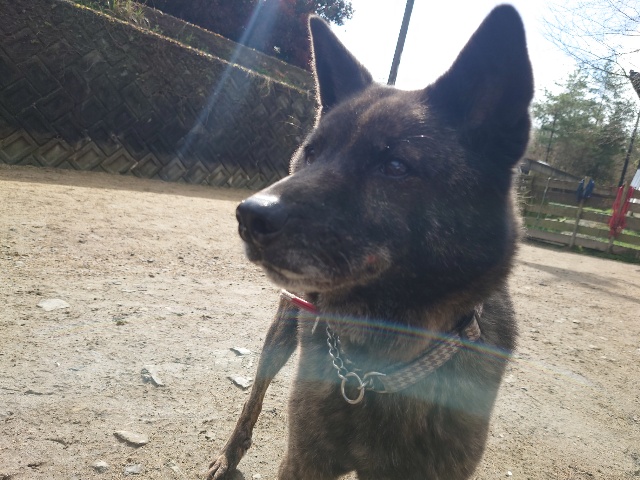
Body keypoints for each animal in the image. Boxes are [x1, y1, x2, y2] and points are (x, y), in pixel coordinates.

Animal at [207, 5, 533, 479]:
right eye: (312, 153)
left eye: (394, 166)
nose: (250, 216)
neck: (377, 364)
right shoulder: (304, 461)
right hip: (280, 333)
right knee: (254, 397)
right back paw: (229, 454)